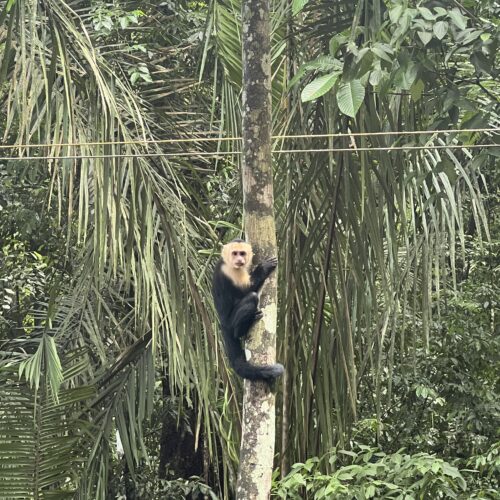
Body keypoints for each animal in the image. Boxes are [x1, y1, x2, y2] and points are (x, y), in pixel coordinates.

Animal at [212, 239, 286, 382]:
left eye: (242, 253)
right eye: (235, 253)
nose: (239, 259)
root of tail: (222, 323)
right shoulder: (230, 270)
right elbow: (247, 290)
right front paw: (263, 268)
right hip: (230, 322)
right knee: (252, 297)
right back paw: (242, 329)